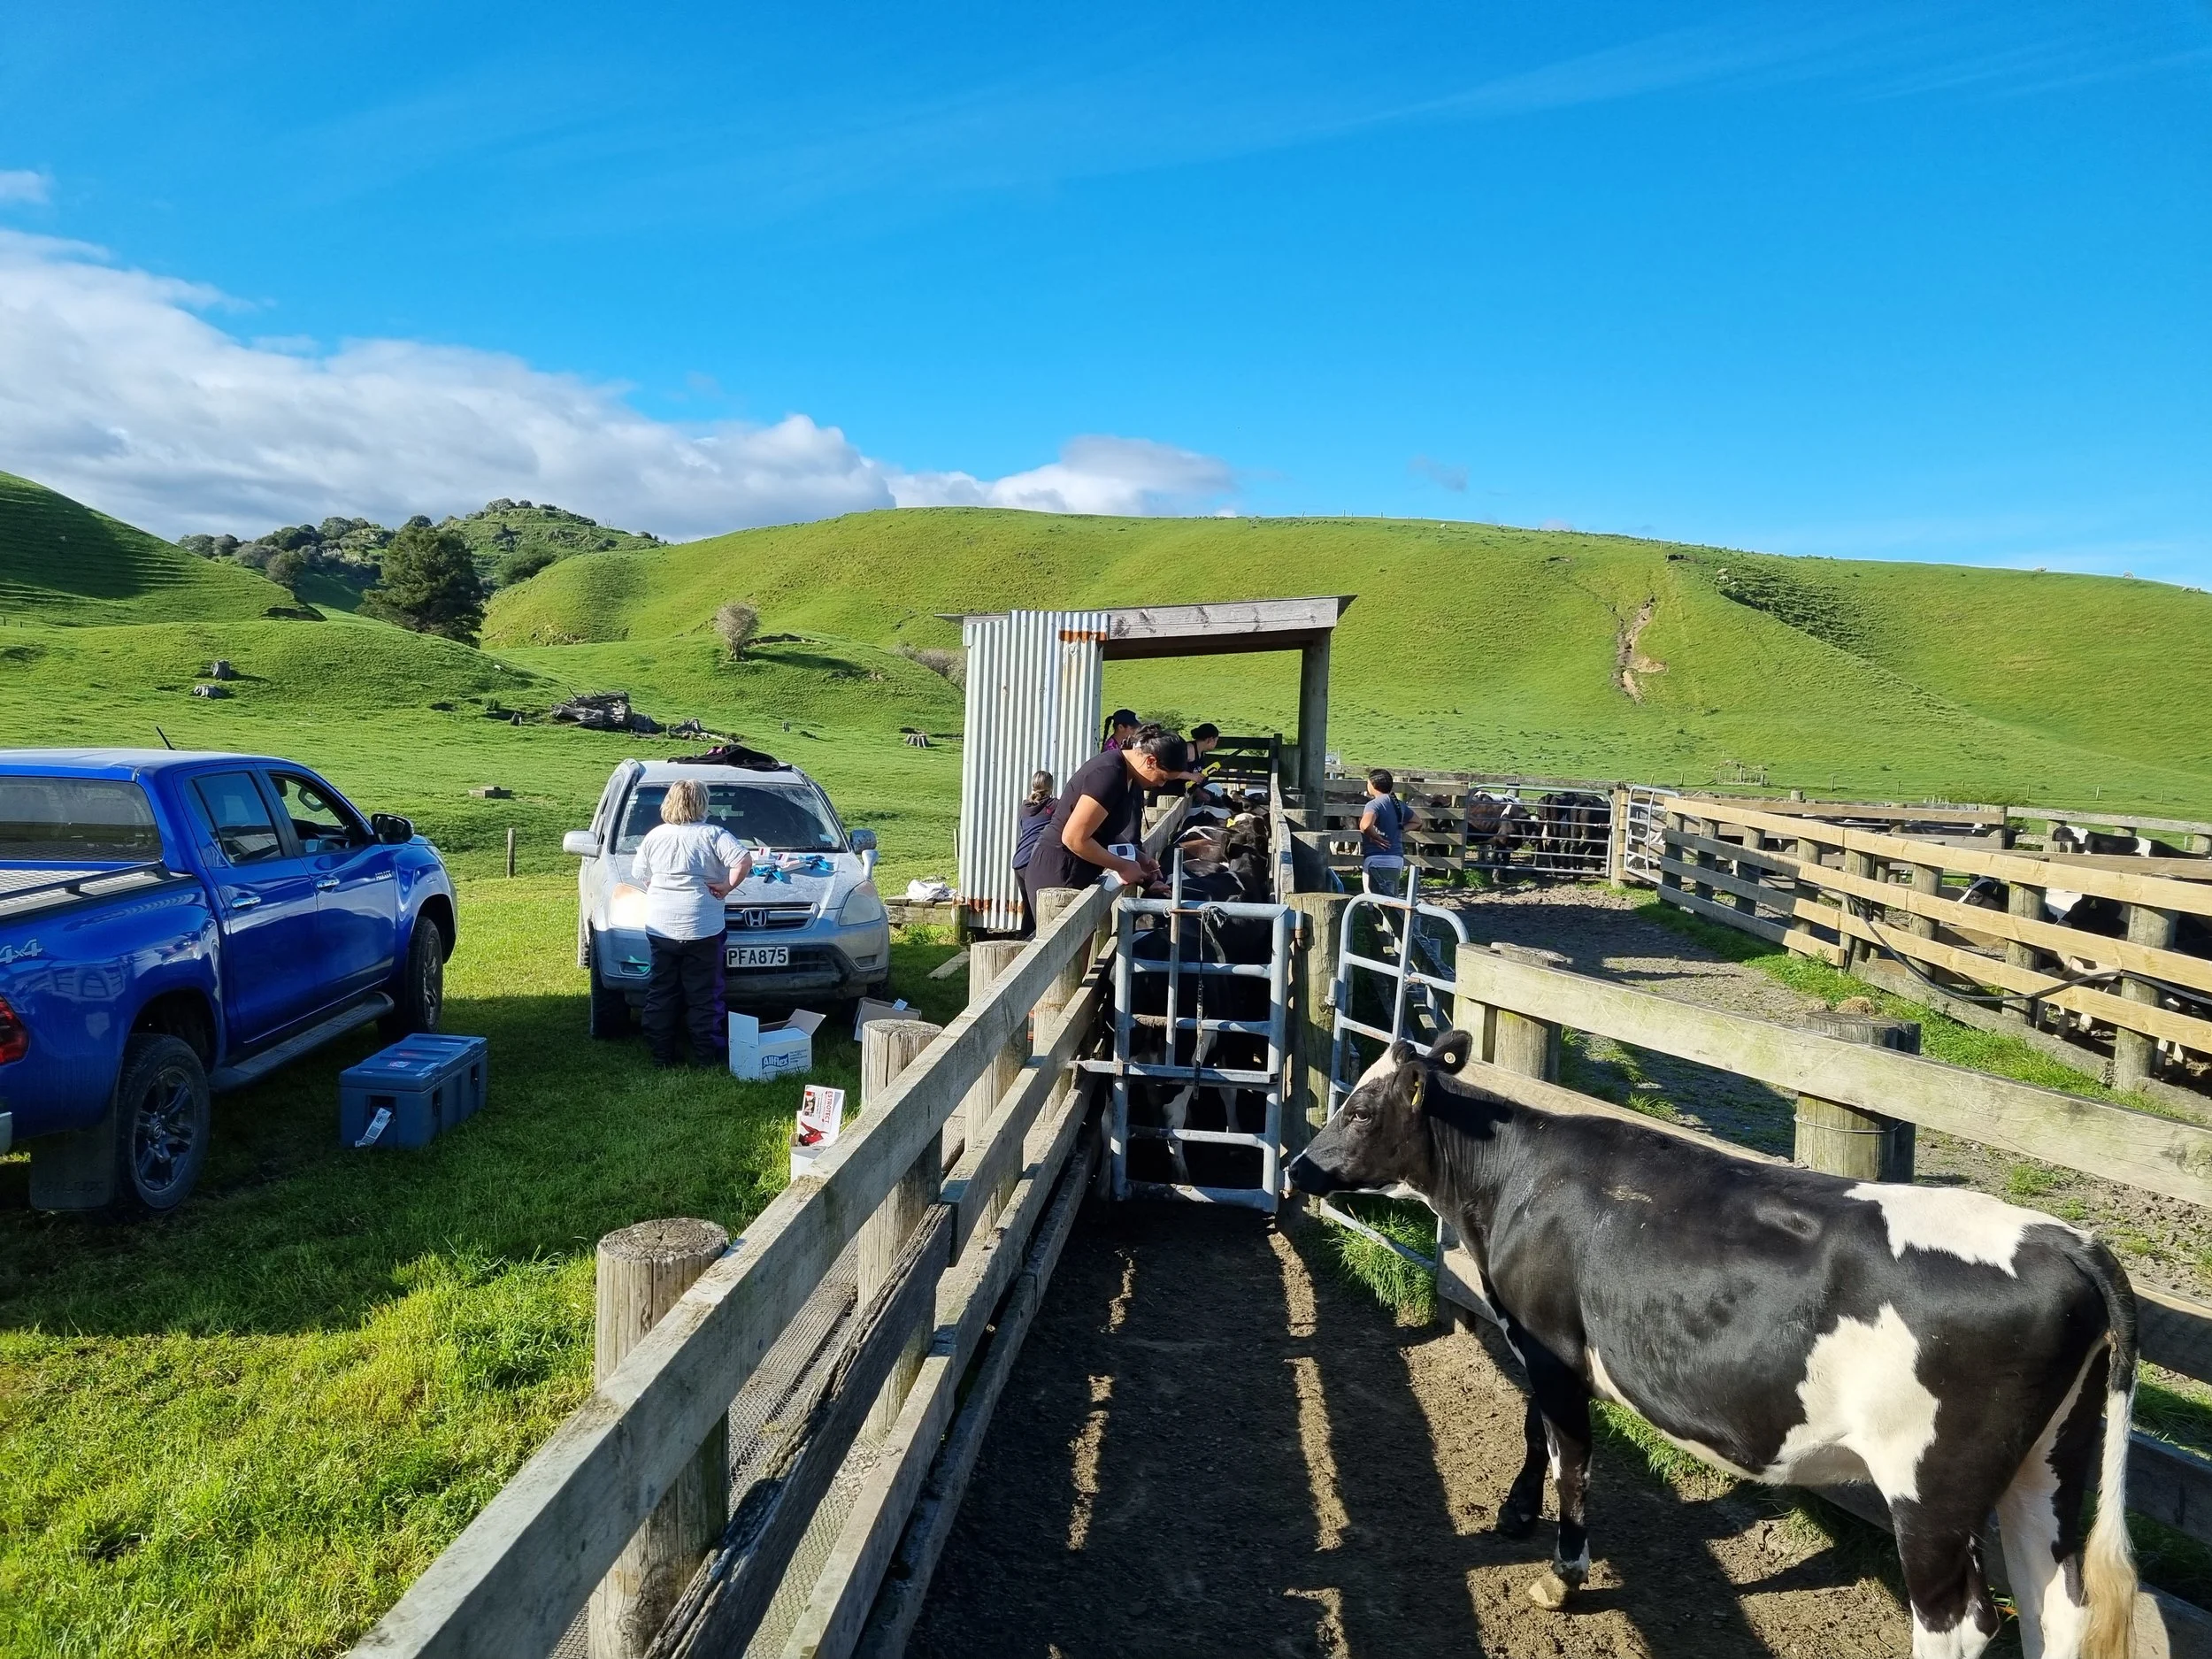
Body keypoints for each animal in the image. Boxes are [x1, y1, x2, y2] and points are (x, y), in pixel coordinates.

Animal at [1289, 1033, 2138, 1659]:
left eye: (1360, 1109)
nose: (1298, 1165)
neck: (1514, 1183)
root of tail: (2067, 1241)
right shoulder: (1541, 1339)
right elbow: (1537, 1429)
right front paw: (1515, 1510)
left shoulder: (1552, 1343)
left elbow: (1572, 1457)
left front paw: (1564, 1573)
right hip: (2050, 1464)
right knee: (2057, 1610)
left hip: (1930, 1488)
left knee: (1958, 1622)